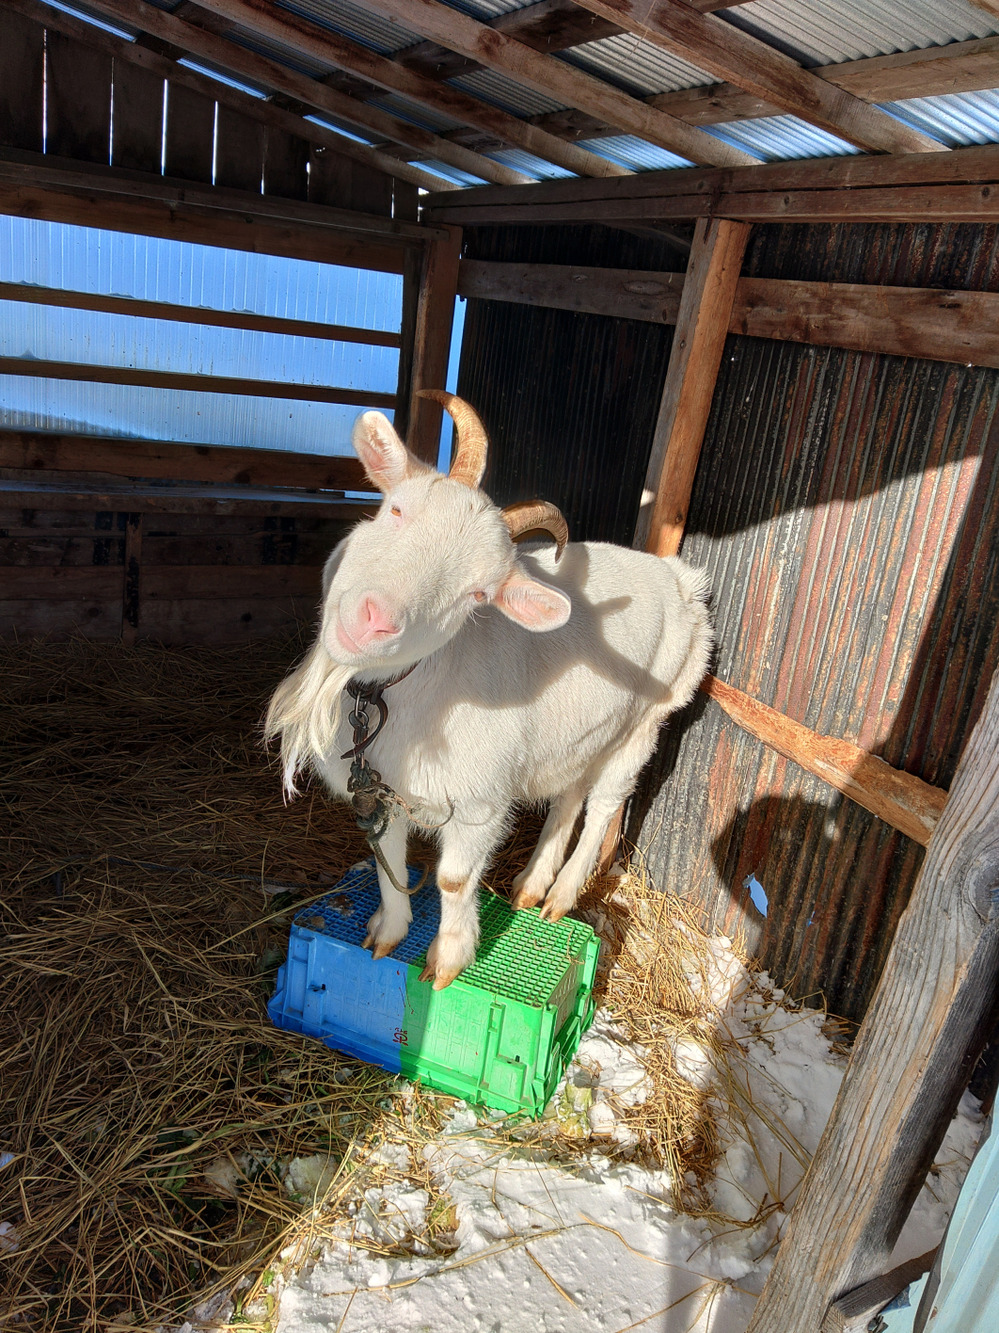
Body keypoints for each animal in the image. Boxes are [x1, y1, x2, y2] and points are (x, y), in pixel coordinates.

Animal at [265, 393, 712, 989]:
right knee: (568, 794)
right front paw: (388, 932)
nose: (373, 620)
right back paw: (532, 884)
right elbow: (386, 855)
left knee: (603, 804)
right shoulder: (381, 791)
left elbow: (454, 880)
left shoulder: (478, 802)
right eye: (395, 511)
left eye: (477, 593)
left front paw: (449, 960)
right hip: (578, 733)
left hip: (649, 719)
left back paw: (561, 895)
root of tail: (678, 577)